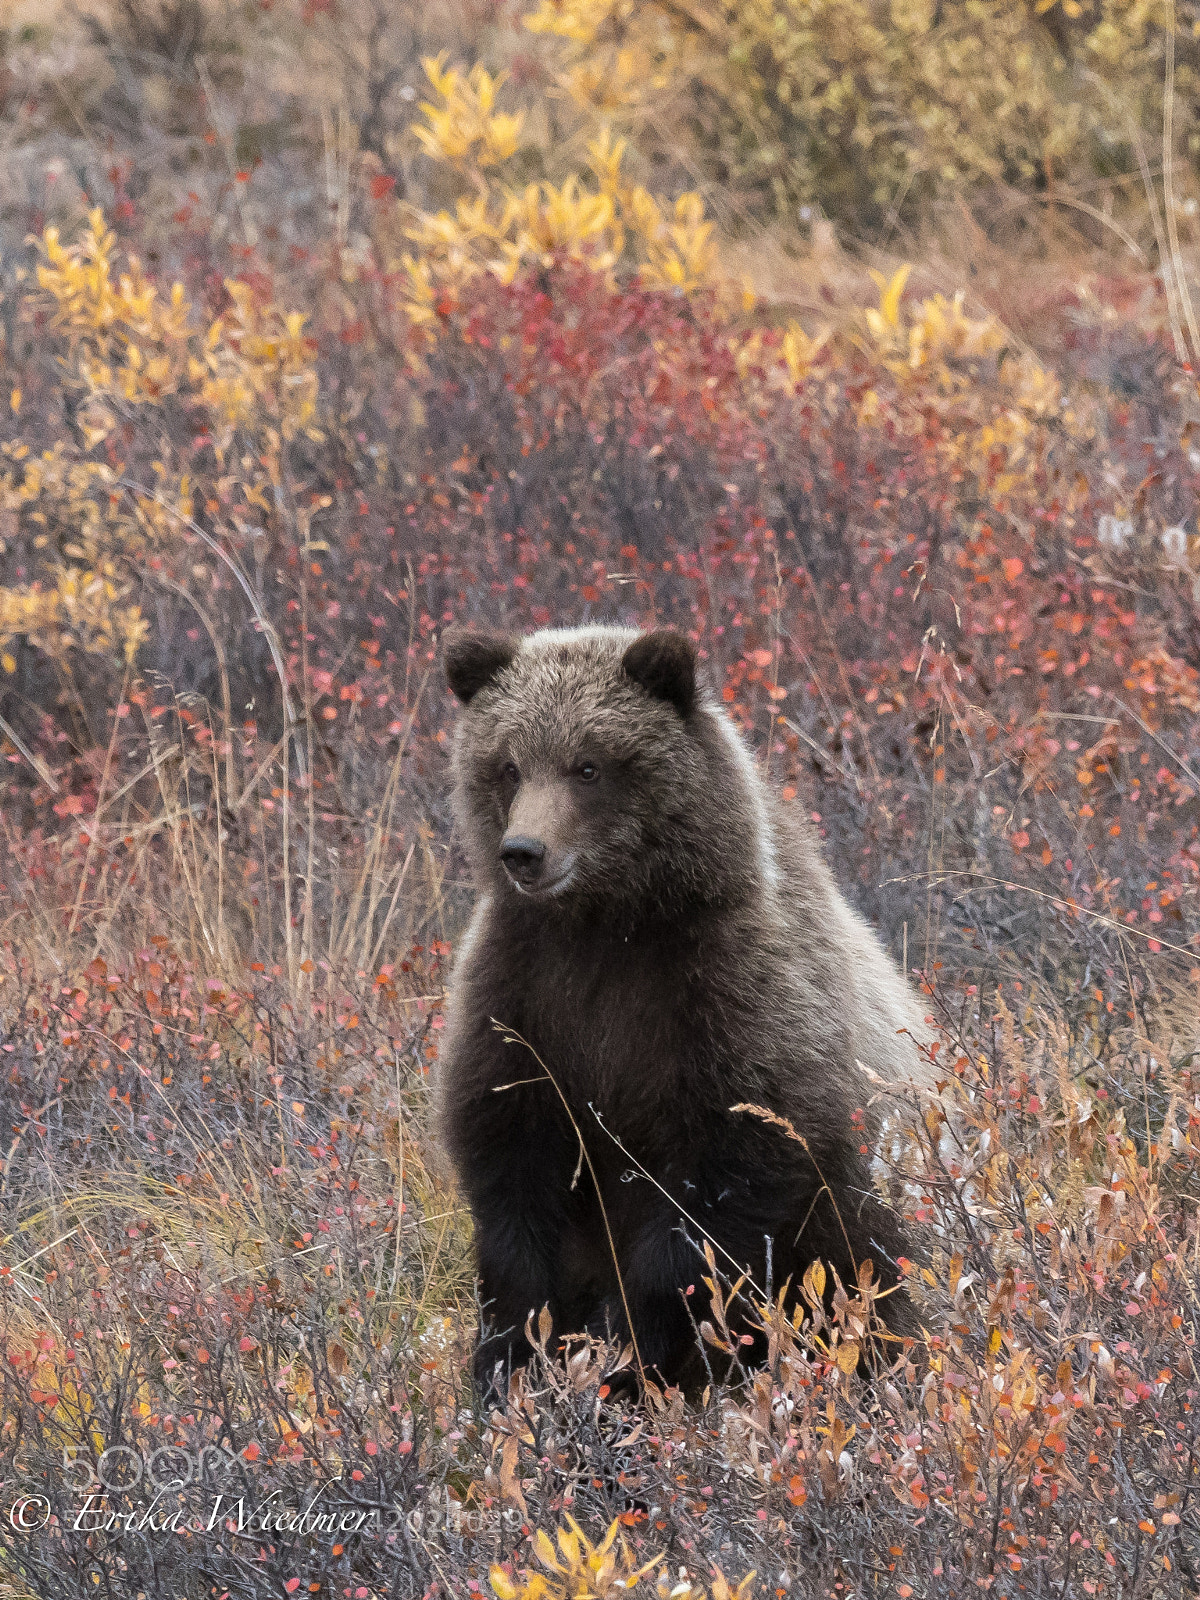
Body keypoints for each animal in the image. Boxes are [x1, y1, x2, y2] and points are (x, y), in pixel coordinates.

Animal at [438, 623, 936, 1401]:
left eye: (588, 764)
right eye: (508, 765)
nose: (524, 851)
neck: (610, 926)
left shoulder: (729, 1004)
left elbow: (710, 1200)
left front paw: (626, 1350)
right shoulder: (525, 1000)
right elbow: (513, 1179)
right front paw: (511, 1362)